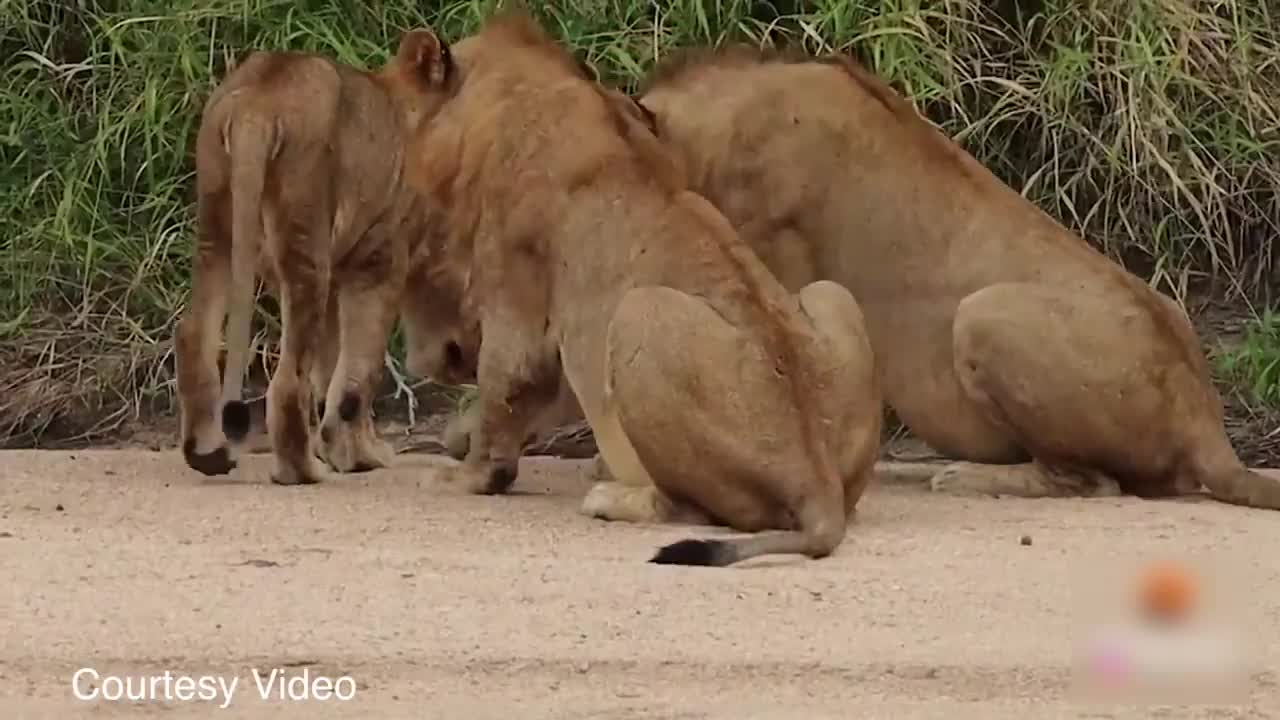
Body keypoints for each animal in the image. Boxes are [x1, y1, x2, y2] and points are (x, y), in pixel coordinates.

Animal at [170, 30, 471, 484]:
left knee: (195, 334)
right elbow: (358, 370)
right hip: (305, 236)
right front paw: (361, 457)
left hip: (217, 229)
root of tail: (256, 105)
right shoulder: (377, 261)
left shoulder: (340, 271)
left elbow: (331, 366)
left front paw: (342, 450)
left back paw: (207, 455)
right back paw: (301, 470)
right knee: (288, 377)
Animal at [381, 8, 880, 563]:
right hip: (831, 295)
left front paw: (464, 476)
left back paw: (610, 495)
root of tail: (817, 483)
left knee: (692, 509)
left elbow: (505, 387)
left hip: (641, 314)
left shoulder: (515, 290)